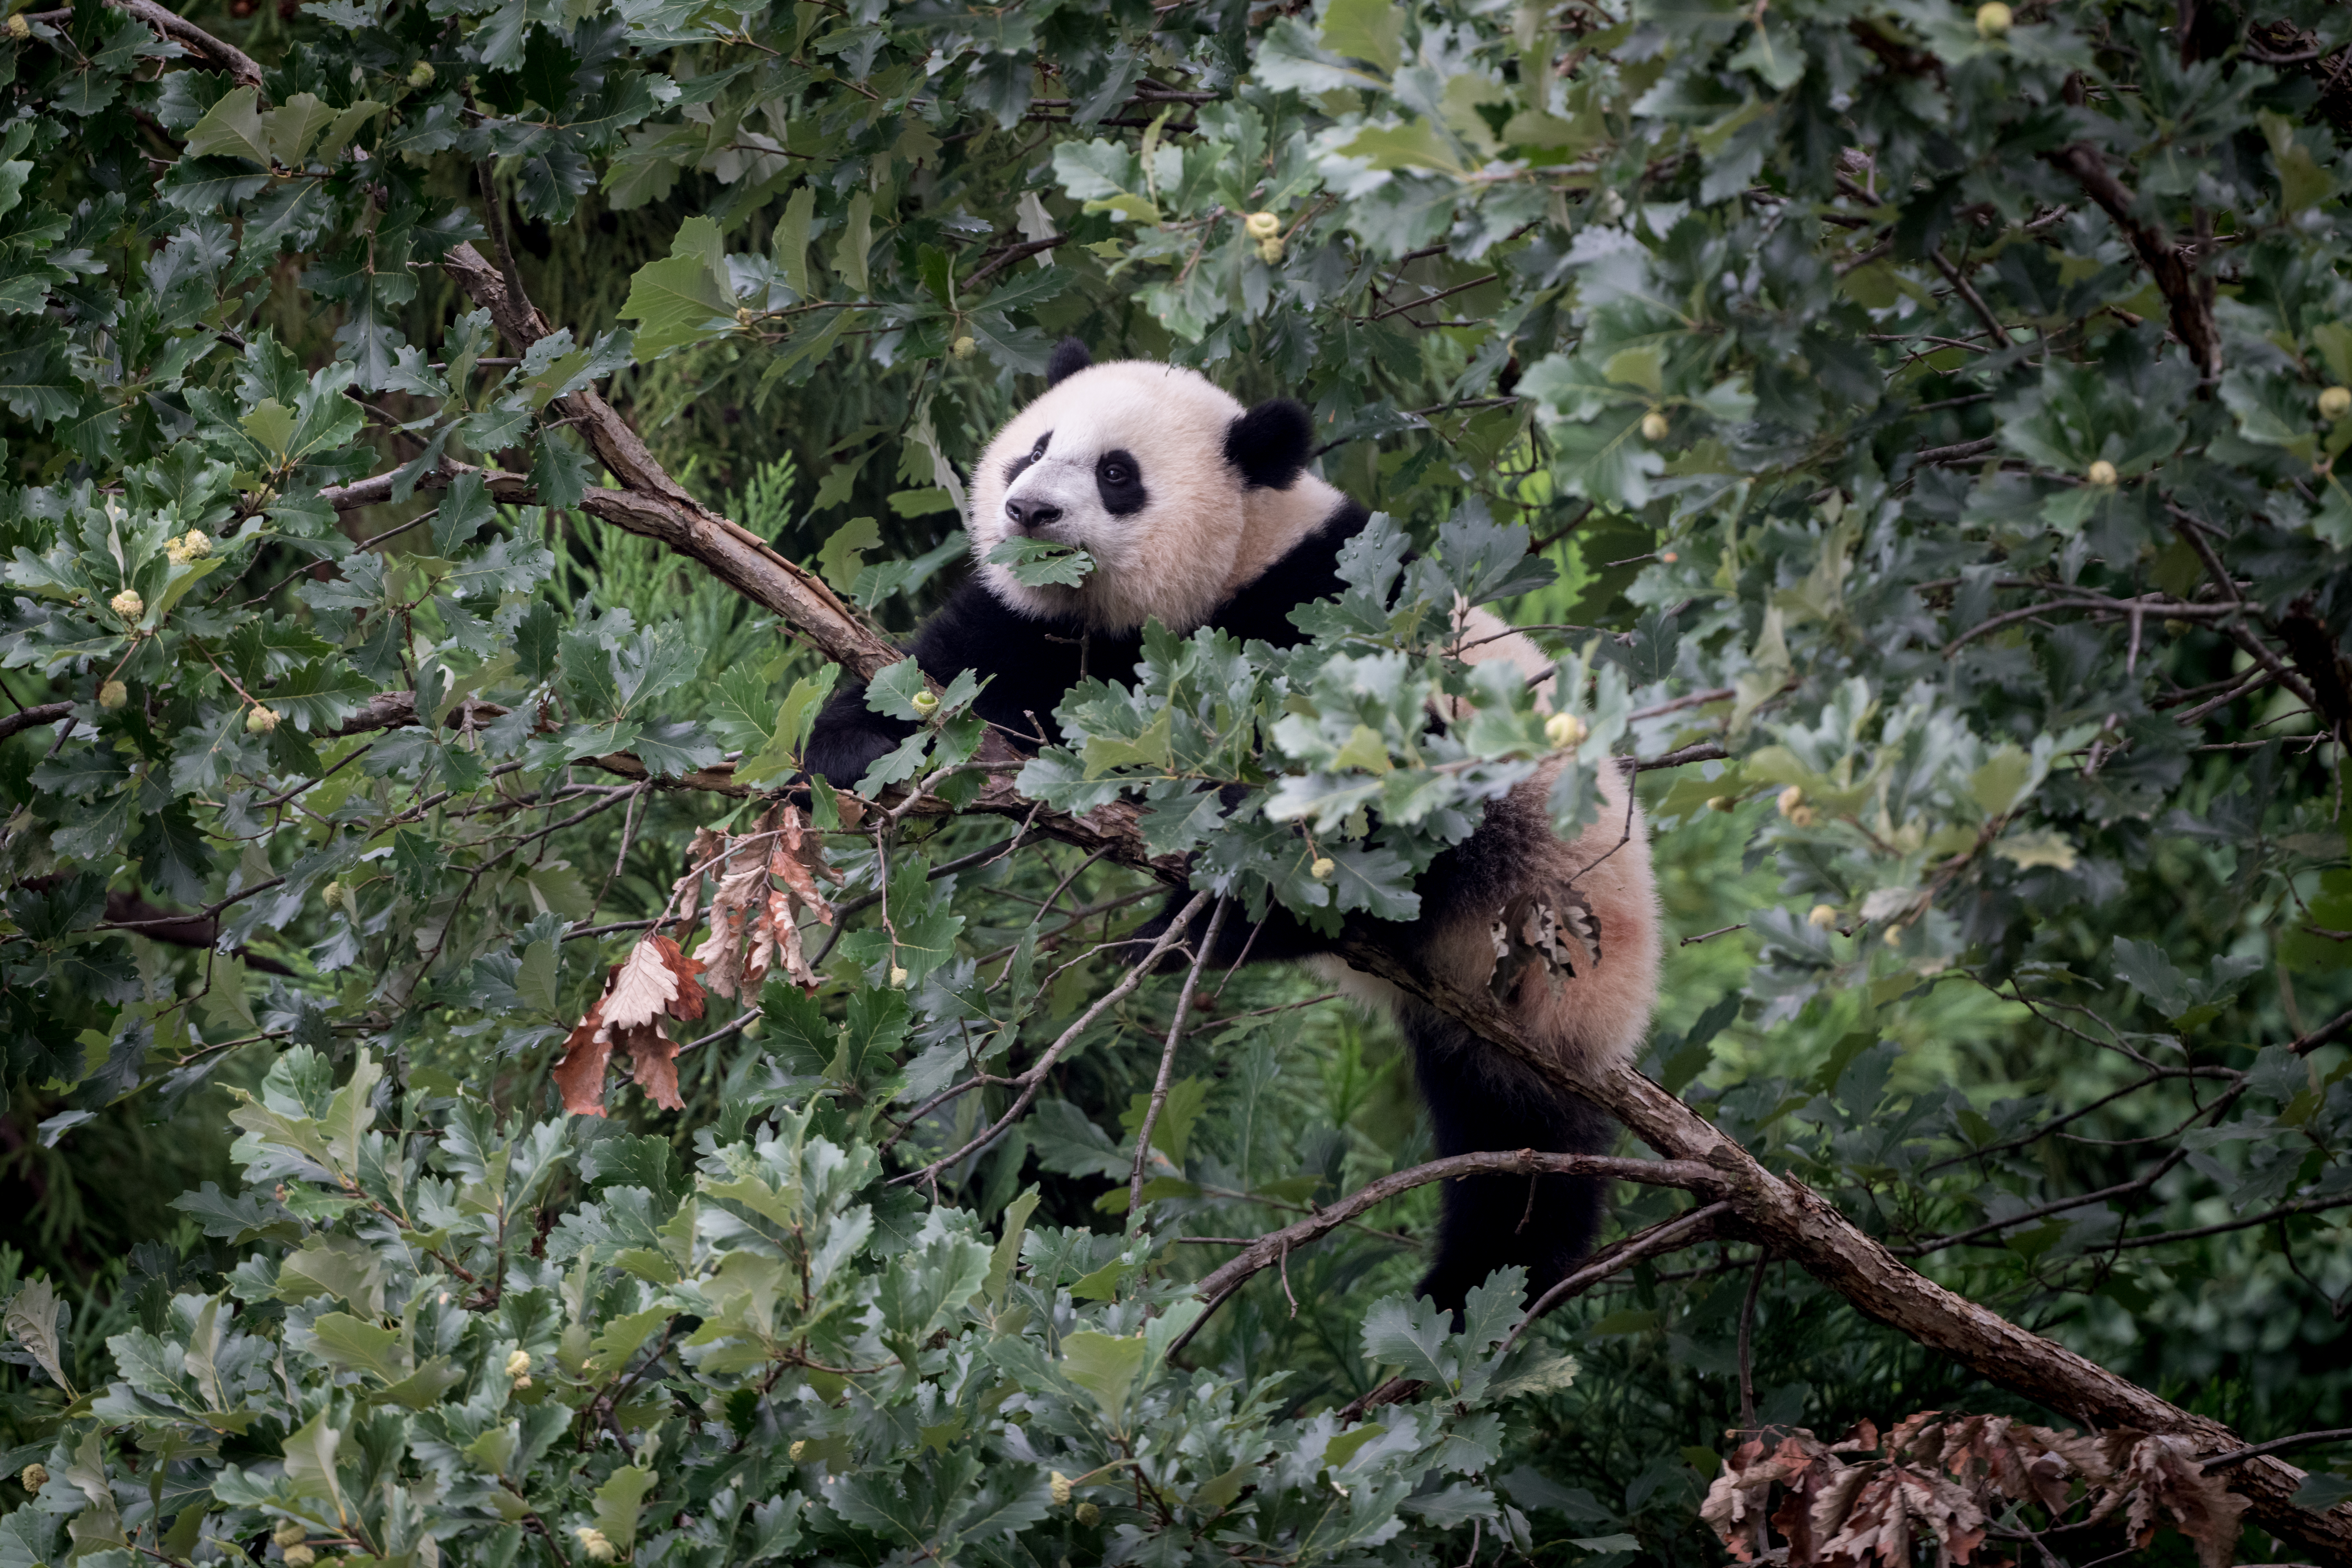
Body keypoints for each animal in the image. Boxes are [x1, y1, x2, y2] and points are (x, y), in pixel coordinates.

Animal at [799, 343, 1665, 1316]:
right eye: (1036, 447)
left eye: (1117, 474)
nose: (1027, 510)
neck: (1245, 548)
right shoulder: (1057, 627)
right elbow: (963, 666)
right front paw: (850, 746)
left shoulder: (1316, 608)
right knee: (1505, 1153)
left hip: (1534, 888)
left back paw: (1201, 933)